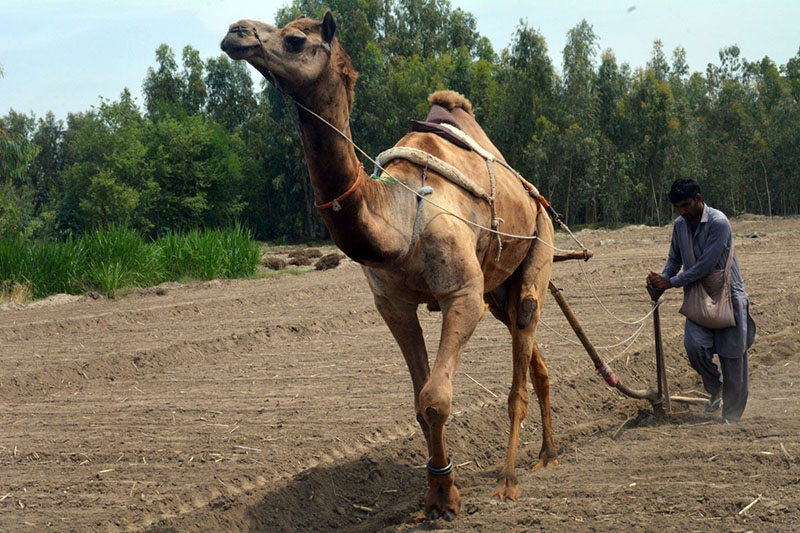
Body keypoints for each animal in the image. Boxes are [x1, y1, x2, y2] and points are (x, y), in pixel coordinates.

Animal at [221, 12, 558, 520]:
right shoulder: (393, 305)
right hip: (499, 289)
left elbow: (437, 398)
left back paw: (509, 481)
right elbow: (420, 403)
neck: (401, 219)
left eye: (295, 39)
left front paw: (449, 499)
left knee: (523, 351)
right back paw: (548, 455)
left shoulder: (461, 295)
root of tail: (534, 194)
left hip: (539, 246)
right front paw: (435, 495)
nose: (235, 33)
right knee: (534, 356)